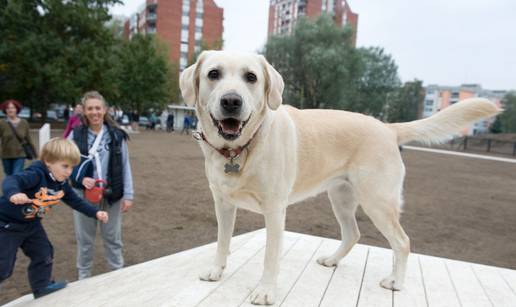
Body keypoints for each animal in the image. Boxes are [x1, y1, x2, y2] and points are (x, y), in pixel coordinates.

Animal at [180, 50, 500, 306]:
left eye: (251, 77)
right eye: (213, 74)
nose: (231, 101)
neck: (239, 149)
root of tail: (388, 127)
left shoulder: (274, 210)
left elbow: (270, 257)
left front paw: (265, 291)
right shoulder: (223, 204)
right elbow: (222, 242)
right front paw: (216, 271)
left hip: (377, 202)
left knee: (402, 241)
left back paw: (395, 282)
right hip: (342, 199)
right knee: (353, 234)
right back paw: (332, 260)